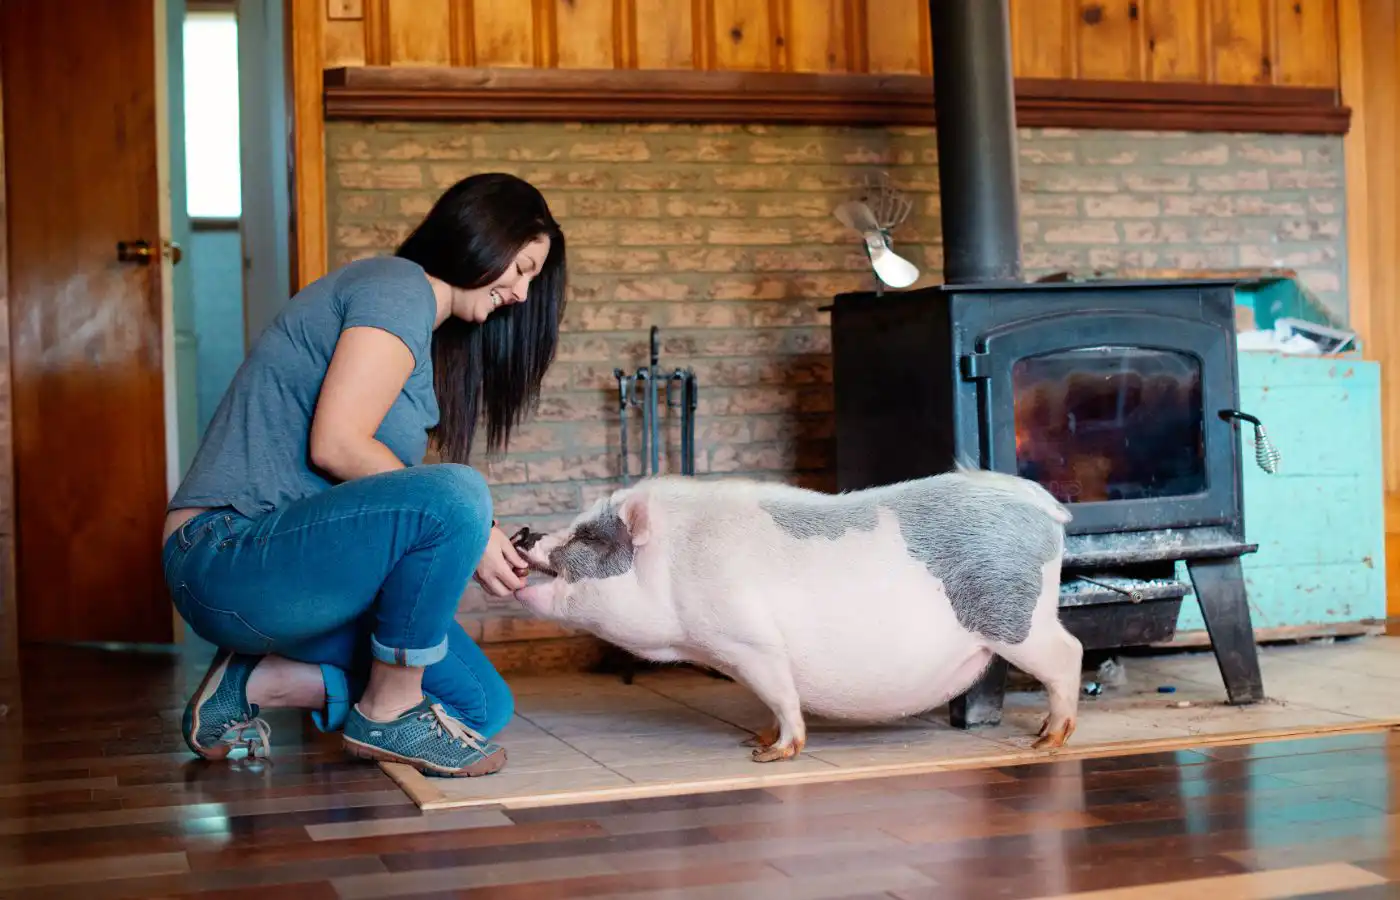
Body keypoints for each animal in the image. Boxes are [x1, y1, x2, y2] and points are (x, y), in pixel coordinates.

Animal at [512, 467, 1080, 761]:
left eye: (590, 538)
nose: (522, 533)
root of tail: (1045, 505)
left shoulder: (751, 641)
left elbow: (782, 696)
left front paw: (768, 755)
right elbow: (768, 702)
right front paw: (754, 739)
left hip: (1014, 618)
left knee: (1069, 654)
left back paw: (1043, 741)